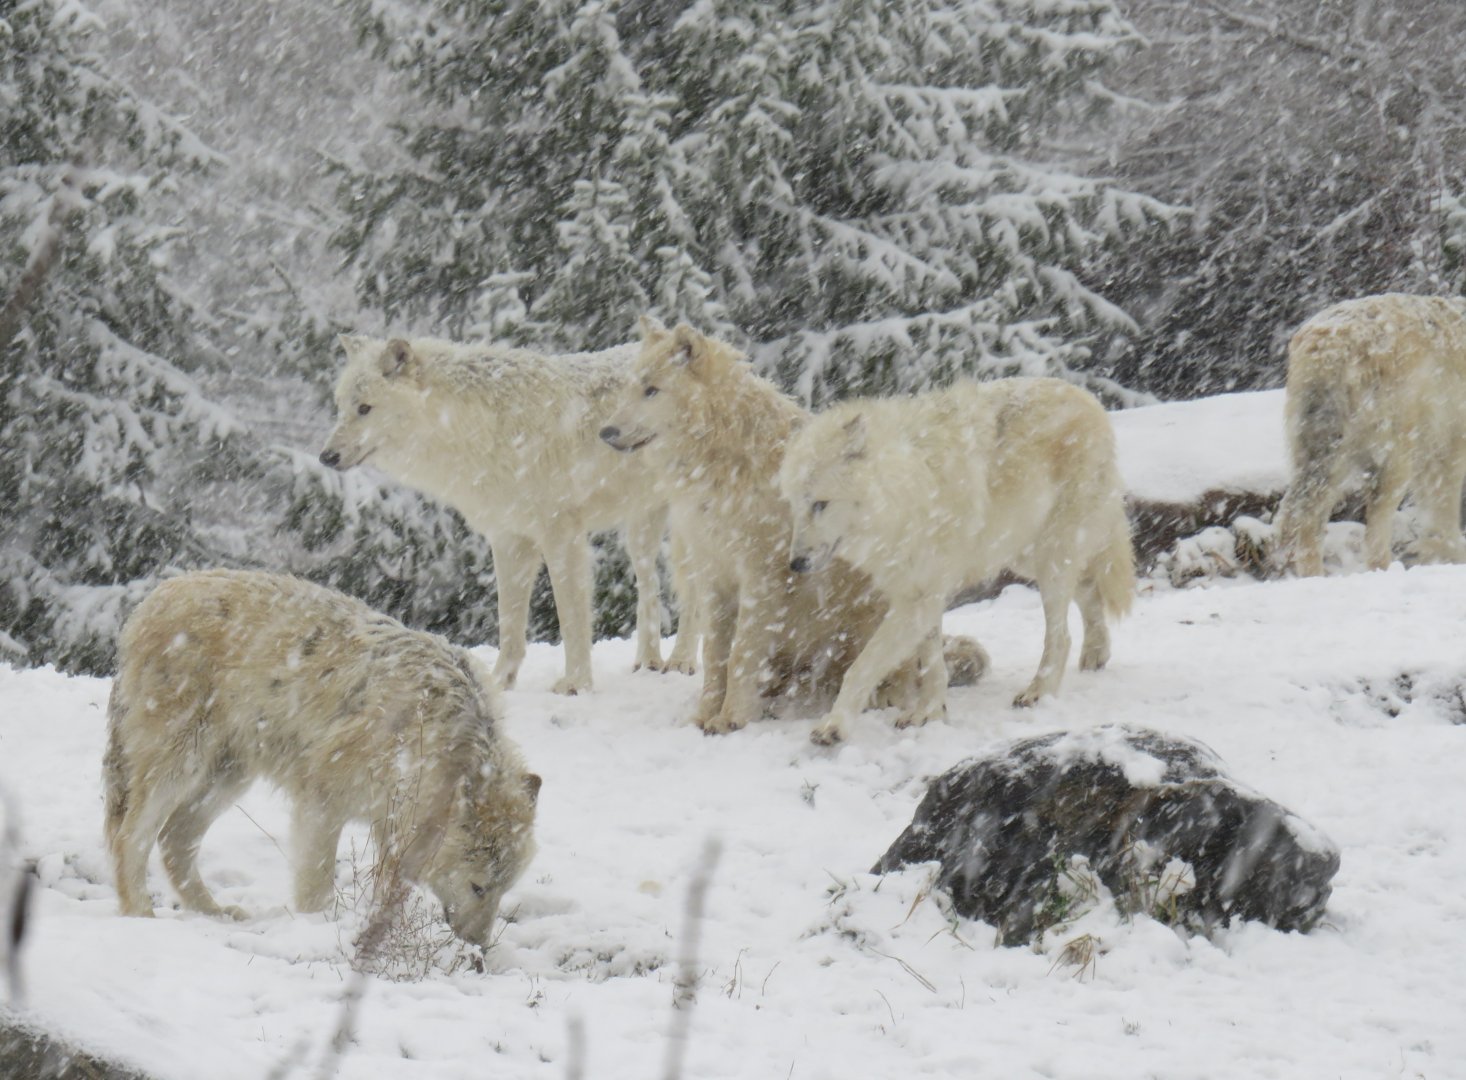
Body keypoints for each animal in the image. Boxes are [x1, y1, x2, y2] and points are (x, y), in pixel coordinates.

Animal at [104, 569, 540, 947]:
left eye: (503, 889)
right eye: (478, 886)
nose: (479, 945)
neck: (427, 730)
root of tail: (152, 599)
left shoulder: (388, 822)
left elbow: (386, 891)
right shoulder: (321, 801)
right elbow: (316, 884)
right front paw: (318, 930)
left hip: (226, 779)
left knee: (173, 842)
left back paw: (214, 913)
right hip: (180, 766)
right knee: (130, 836)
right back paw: (141, 913)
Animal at [320, 334, 699, 695]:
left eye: (365, 408)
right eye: (340, 407)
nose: (326, 456)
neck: (477, 431)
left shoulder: (561, 534)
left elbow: (571, 617)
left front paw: (576, 683)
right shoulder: (508, 538)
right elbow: (509, 621)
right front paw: (498, 682)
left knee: (693, 592)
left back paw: (682, 661)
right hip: (640, 533)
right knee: (649, 586)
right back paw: (649, 661)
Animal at [600, 319, 988, 736]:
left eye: (651, 390)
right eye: (631, 388)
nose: (605, 432)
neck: (725, 463)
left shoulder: (762, 574)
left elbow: (740, 654)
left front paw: (730, 717)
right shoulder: (714, 574)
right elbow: (715, 655)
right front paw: (704, 715)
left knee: (896, 672)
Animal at [779, 377, 1135, 744]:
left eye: (820, 504)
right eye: (794, 503)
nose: (796, 564)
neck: (905, 490)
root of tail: (1087, 397)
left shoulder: (917, 599)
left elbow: (862, 666)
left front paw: (833, 726)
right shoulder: (921, 592)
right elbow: (930, 663)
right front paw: (930, 712)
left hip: (1050, 557)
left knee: (1061, 636)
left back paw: (1038, 691)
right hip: (1024, 556)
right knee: (1088, 587)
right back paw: (1096, 652)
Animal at [1273, 293, 1466, 576]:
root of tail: (1327, 349)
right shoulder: (1450, 441)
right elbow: (1445, 505)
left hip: (1322, 455)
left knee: (1304, 518)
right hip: (1391, 454)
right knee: (1374, 530)